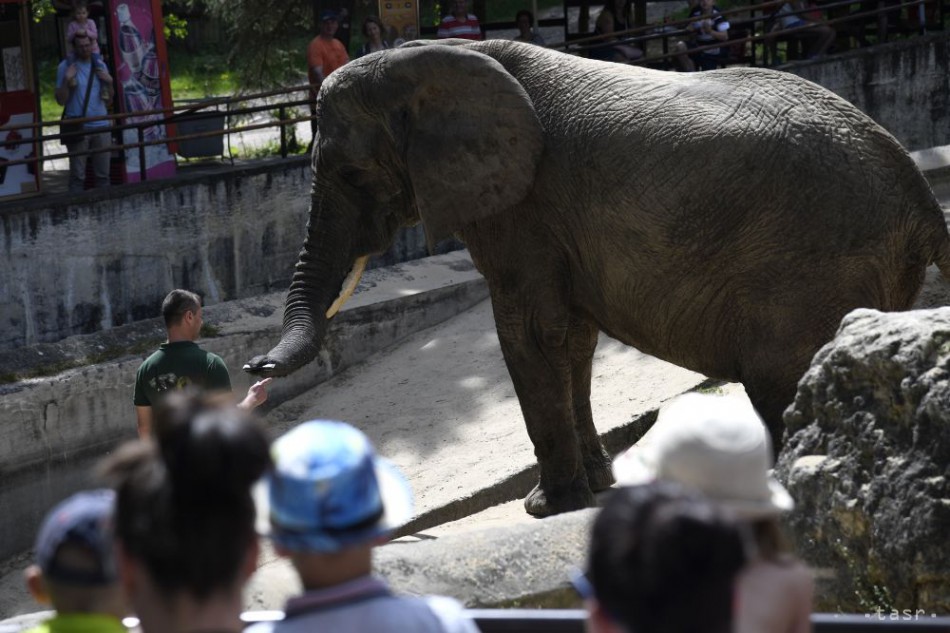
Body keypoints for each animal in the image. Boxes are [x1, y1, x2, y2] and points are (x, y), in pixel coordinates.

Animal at [245, 39, 950, 516]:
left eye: (350, 173)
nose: (253, 371)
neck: (436, 59)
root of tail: (922, 197)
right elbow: (573, 338)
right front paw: (597, 487)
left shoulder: (522, 209)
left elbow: (530, 334)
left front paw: (547, 507)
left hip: (813, 271)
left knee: (783, 383)